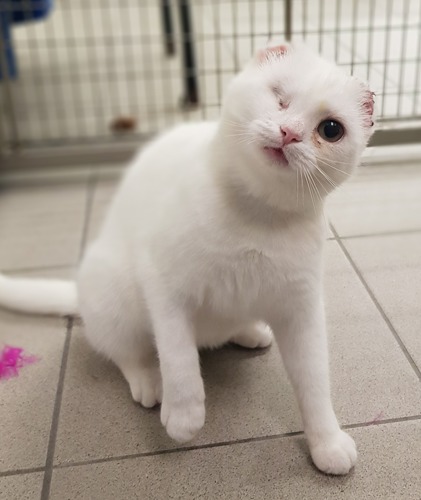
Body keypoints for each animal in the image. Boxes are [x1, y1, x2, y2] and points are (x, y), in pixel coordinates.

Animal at [0, 42, 374, 472]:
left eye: (330, 129)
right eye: (279, 96)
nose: (290, 132)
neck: (257, 215)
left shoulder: (302, 309)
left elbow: (314, 382)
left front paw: (327, 443)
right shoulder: (165, 287)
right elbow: (178, 358)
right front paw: (184, 414)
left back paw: (250, 332)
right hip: (115, 296)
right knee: (125, 351)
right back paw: (149, 381)